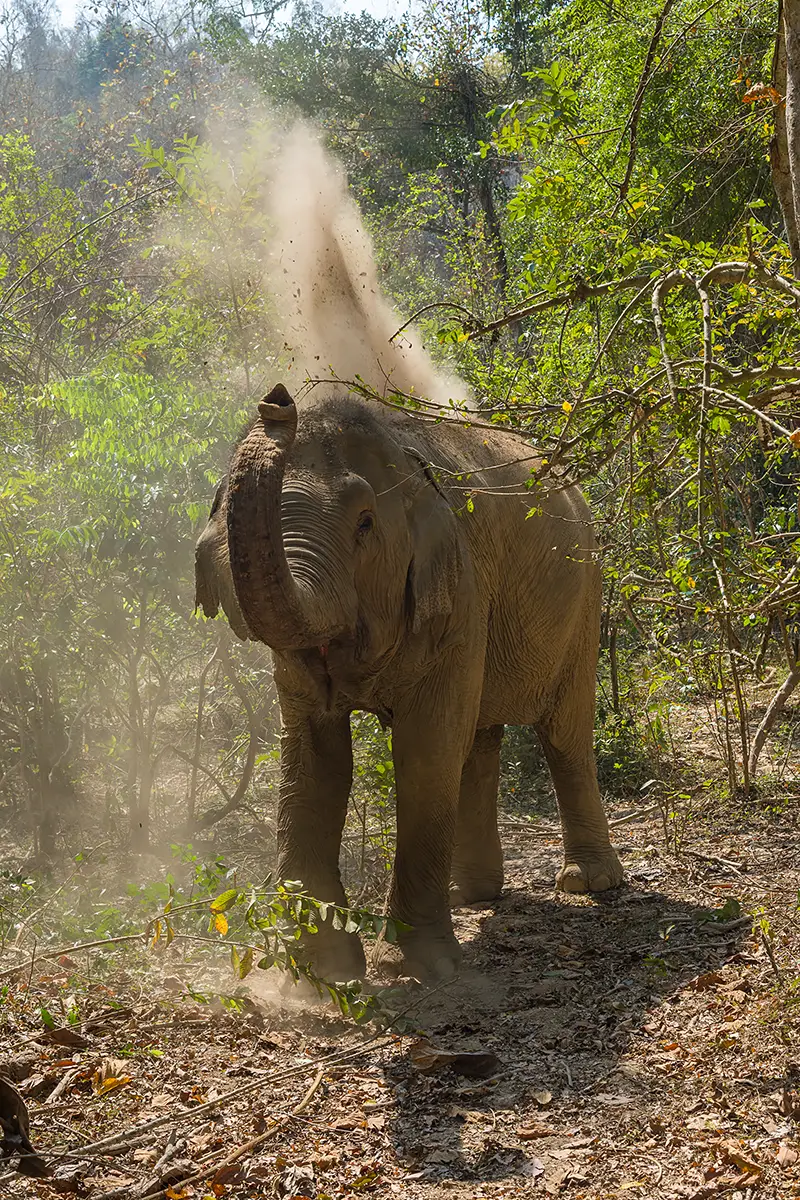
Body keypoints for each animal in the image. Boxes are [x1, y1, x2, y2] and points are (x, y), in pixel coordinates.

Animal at [194, 382, 623, 982]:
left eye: (365, 523)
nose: (276, 400)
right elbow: (314, 762)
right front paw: (321, 973)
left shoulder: (458, 589)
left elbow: (425, 749)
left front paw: (419, 967)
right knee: (479, 738)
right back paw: (474, 895)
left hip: (585, 598)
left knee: (563, 733)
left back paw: (589, 883)